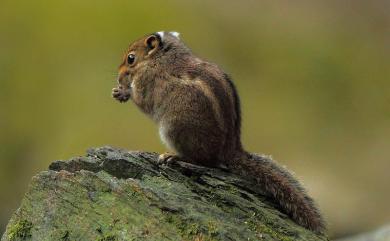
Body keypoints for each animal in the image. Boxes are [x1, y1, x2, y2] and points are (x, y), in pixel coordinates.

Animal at [112, 31, 326, 234]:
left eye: (131, 58)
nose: (118, 77)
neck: (160, 58)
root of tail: (230, 150)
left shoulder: (146, 82)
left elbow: (142, 100)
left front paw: (123, 92)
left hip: (174, 128)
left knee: (204, 161)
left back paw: (173, 156)